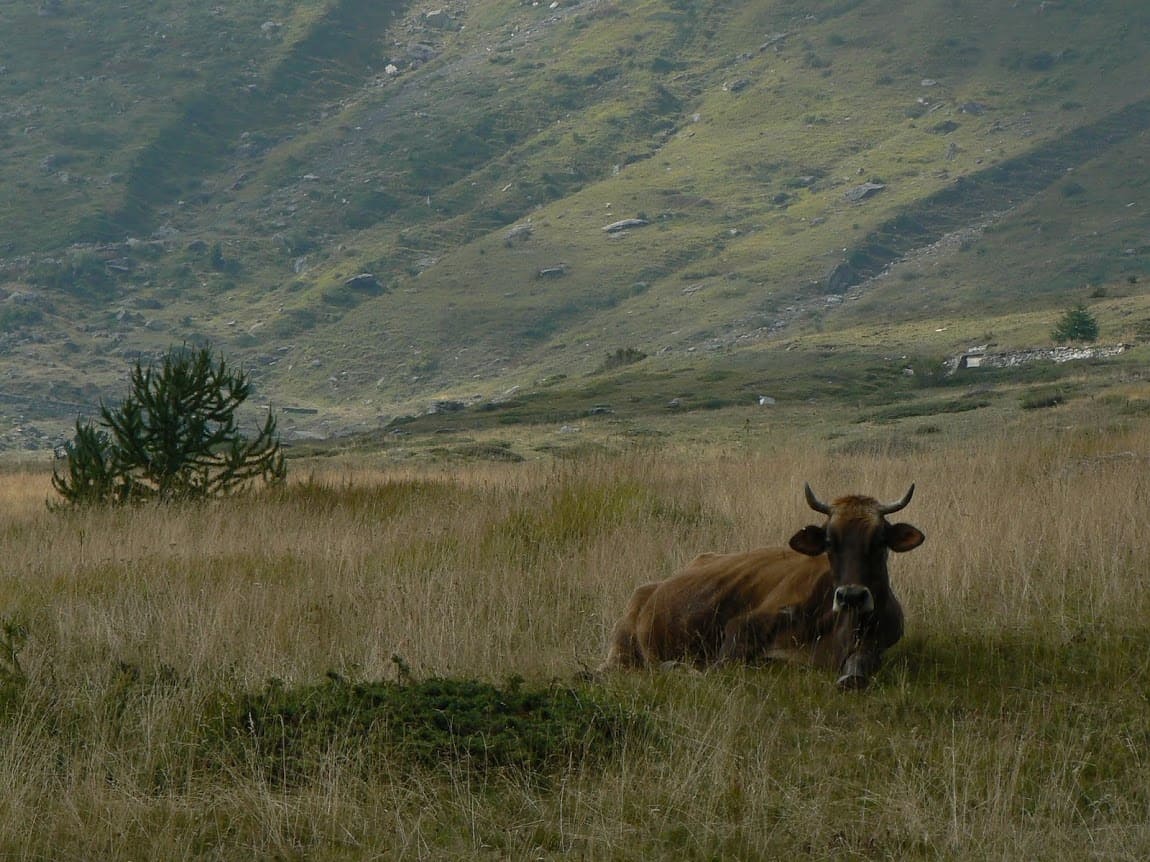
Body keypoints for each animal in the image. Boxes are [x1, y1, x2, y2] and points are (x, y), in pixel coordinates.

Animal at [602, 482, 924, 694]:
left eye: (880, 540)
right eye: (829, 541)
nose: (851, 596)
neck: (841, 628)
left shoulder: (875, 645)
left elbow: (857, 673)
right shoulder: (741, 627)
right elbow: (717, 670)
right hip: (622, 646)